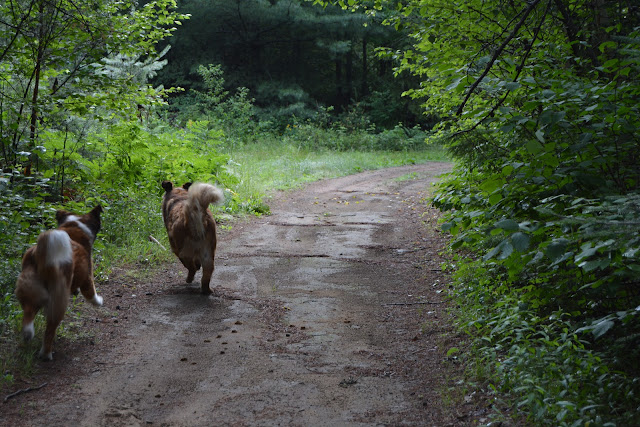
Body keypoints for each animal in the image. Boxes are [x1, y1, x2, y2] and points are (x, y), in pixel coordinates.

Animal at [15, 207, 104, 362]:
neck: (73, 227)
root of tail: (43, 253)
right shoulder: (87, 276)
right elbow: (91, 293)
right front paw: (98, 301)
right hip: (59, 298)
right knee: (50, 328)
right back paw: (46, 354)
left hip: (31, 288)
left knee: (28, 313)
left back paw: (28, 334)